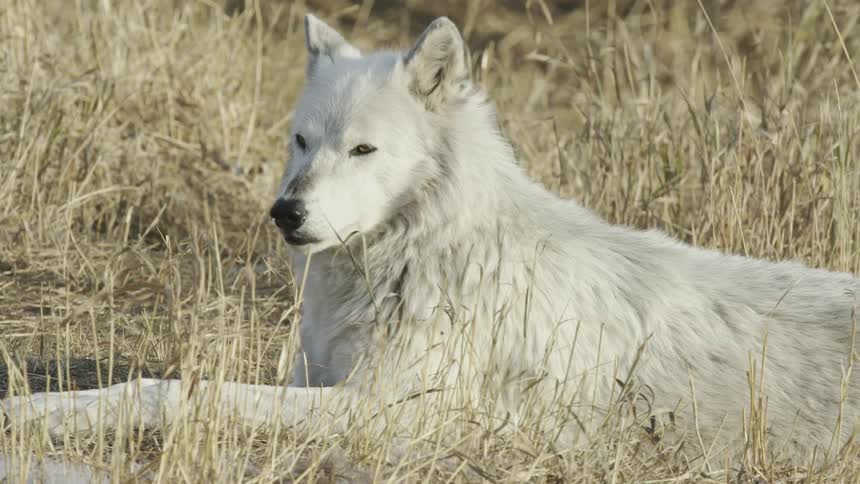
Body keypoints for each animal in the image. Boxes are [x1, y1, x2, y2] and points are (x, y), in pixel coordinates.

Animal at [3, 14, 857, 455]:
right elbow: (153, 384)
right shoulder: (323, 378)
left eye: (363, 150)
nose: (286, 214)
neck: (424, 254)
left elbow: (182, 390)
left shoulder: (391, 410)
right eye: (302, 142)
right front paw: (35, 413)